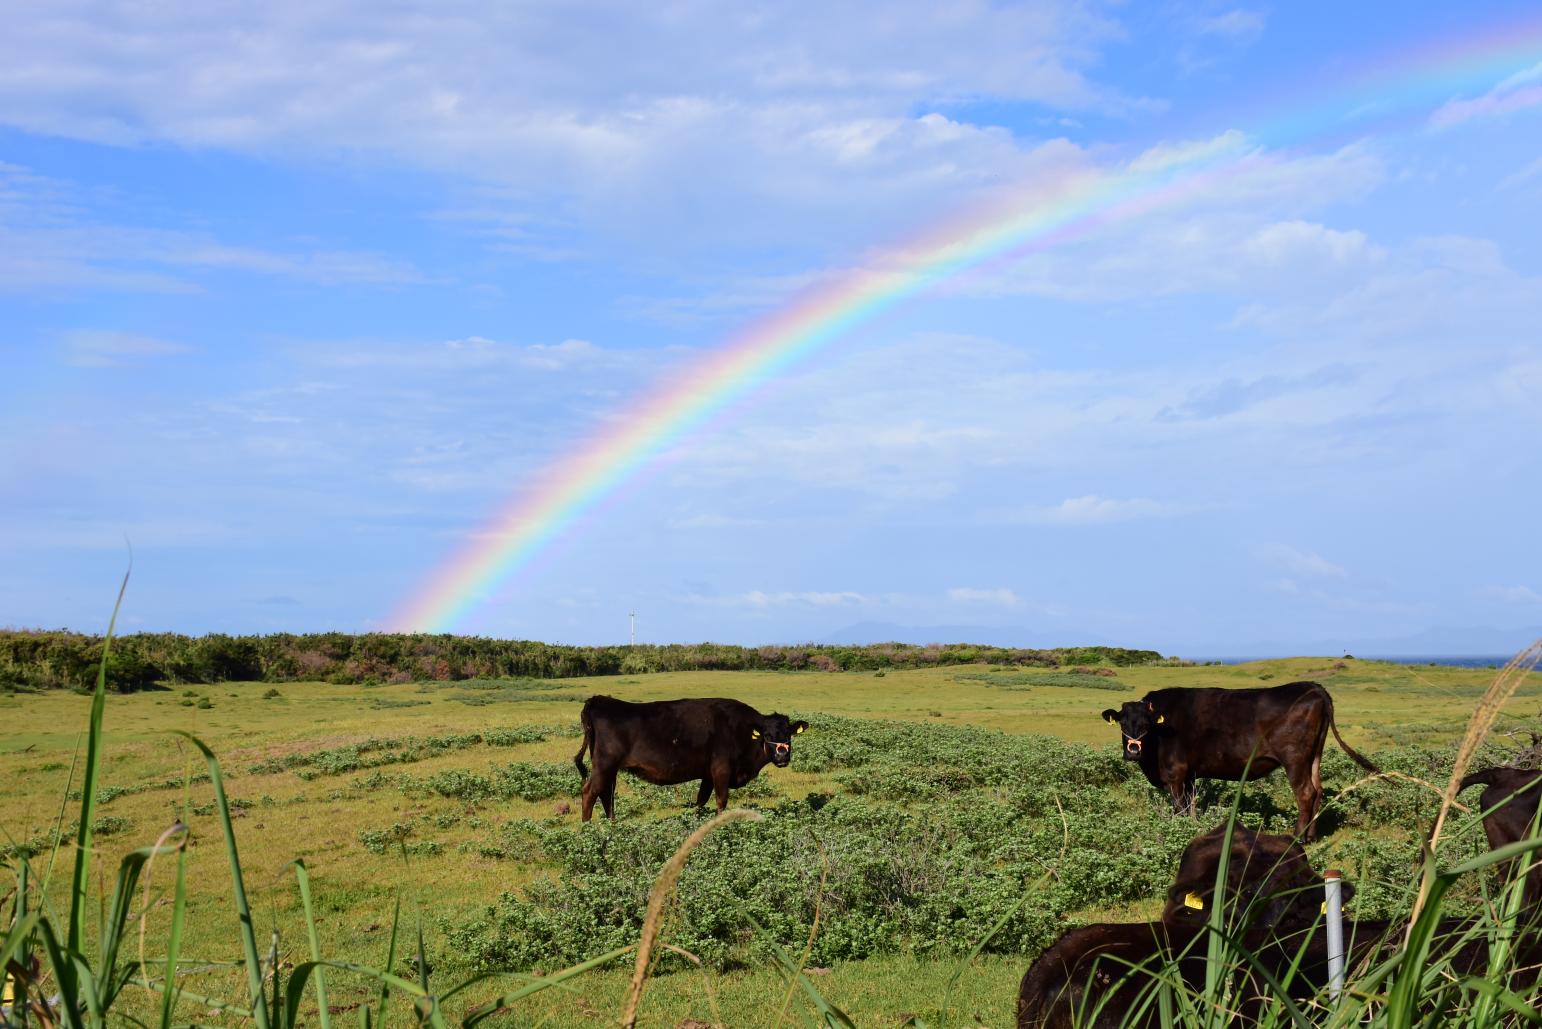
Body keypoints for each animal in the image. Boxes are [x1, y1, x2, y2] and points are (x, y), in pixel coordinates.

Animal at [570, 697, 808, 826]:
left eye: (789, 734)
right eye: (767, 735)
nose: (782, 756)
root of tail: (599, 700)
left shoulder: (708, 775)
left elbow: (700, 801)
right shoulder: (721, 770)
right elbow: (721, 801)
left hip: (609, 769)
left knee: (606, 794)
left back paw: (613, 825)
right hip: (604, 765)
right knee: (590, 792)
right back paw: (588, 829)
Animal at [1104, 678, 1381, 839]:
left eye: (1146, 724)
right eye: (1122, 723)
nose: (1133, 751)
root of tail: (1313, 687)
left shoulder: (1175, 773)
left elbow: (1179, 808)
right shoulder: (1191, 774)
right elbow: (1192, 806)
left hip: (1295, 759)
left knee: (1306, 793)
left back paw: (1297, 838)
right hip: (1314, 757)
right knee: (1319, 790)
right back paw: (1311, 836)